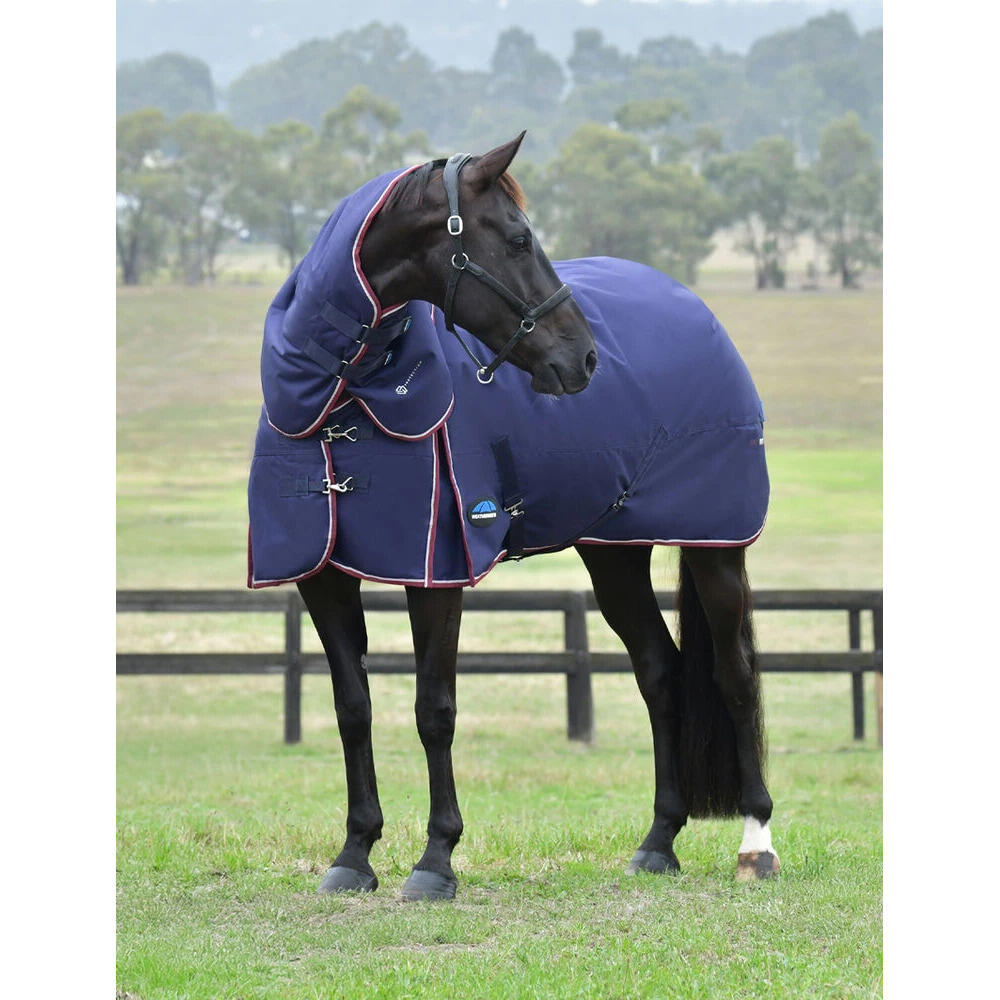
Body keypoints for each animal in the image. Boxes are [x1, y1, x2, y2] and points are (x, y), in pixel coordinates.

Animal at [247, 133, 778, 901]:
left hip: (715, 544)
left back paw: (756, 843)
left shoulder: (435, 574)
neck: (345, 397)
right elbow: (353, 706)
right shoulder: (322, 576)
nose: (584, 357)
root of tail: (693, 306)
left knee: (735, 675)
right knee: (660, 671)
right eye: (519, 239)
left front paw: (435, 859)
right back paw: (658, 841)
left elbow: (433, 709)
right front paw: (354, 853)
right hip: (614, 552)